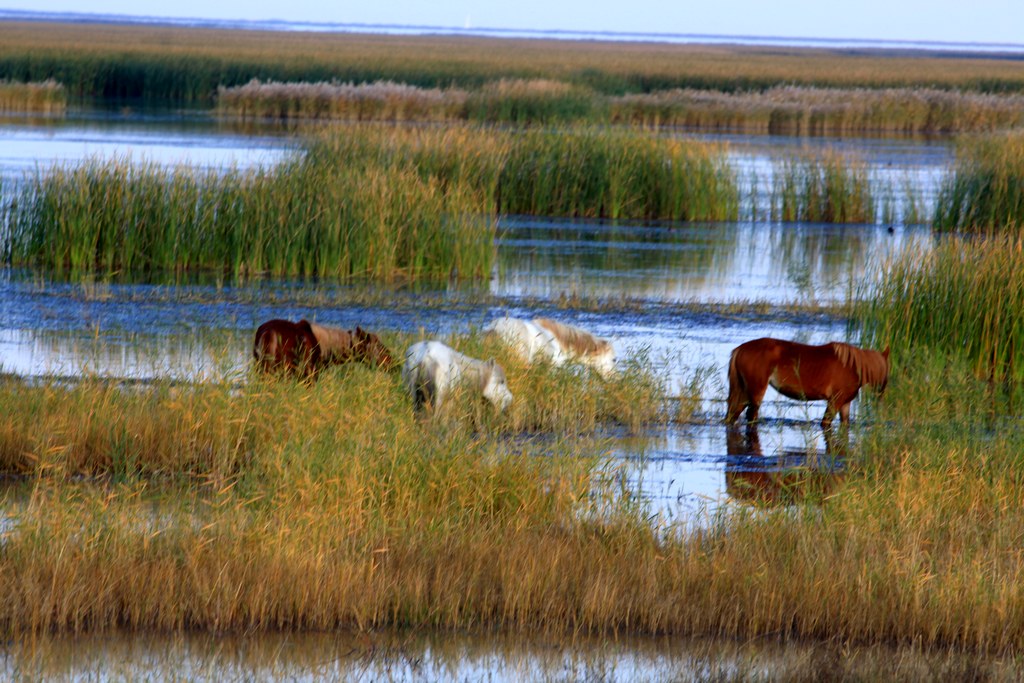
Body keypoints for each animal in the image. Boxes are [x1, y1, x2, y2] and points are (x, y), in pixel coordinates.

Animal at [729, 335, 888, 428]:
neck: (852, 366)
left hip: (744, 392)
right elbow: (825, 423)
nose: (882, 395)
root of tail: (740, 349)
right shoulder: (835, 401)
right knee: (751, 415)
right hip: (756, 391)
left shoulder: (845, 404)